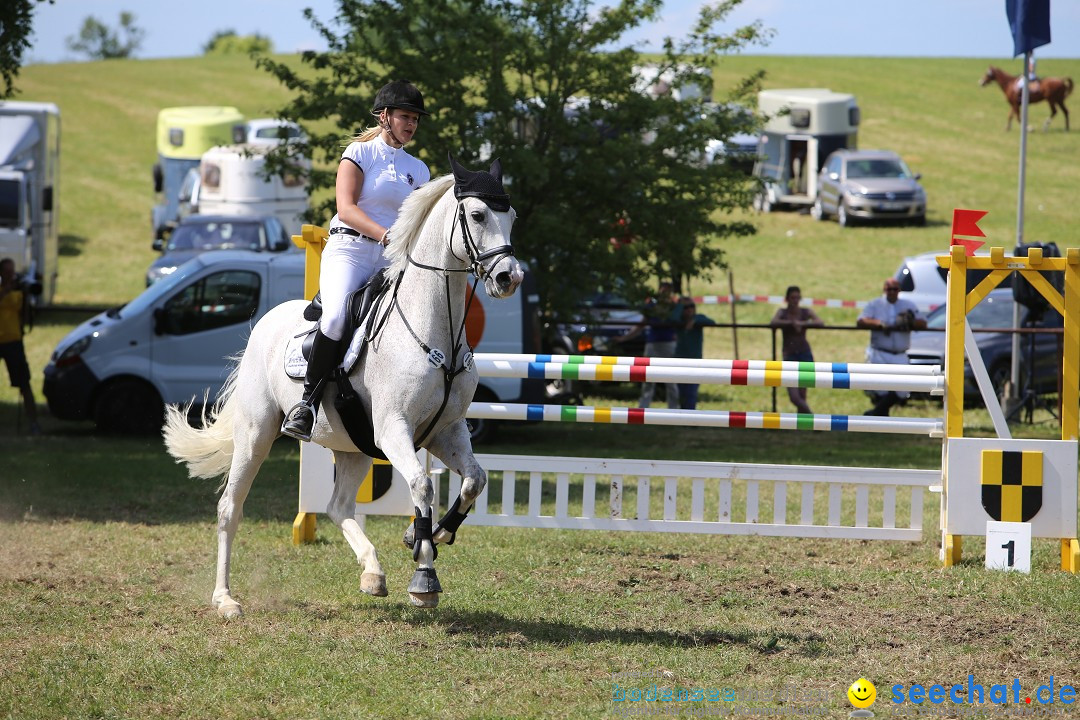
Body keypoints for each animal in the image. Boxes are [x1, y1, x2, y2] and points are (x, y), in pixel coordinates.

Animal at [162, 158, 524, 621]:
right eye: (477, 215)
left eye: (511, 217)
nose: (509, 277)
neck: (435, 330)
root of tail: (264, 323)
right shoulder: (394, 430)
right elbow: (422, 486)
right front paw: (424, 577)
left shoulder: (447, 430)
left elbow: (475, 480)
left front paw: (427, 536)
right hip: (257, 435)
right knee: (231, 507)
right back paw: (225, 599)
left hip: (354, 448)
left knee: (338, 506)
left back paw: (372, 573)